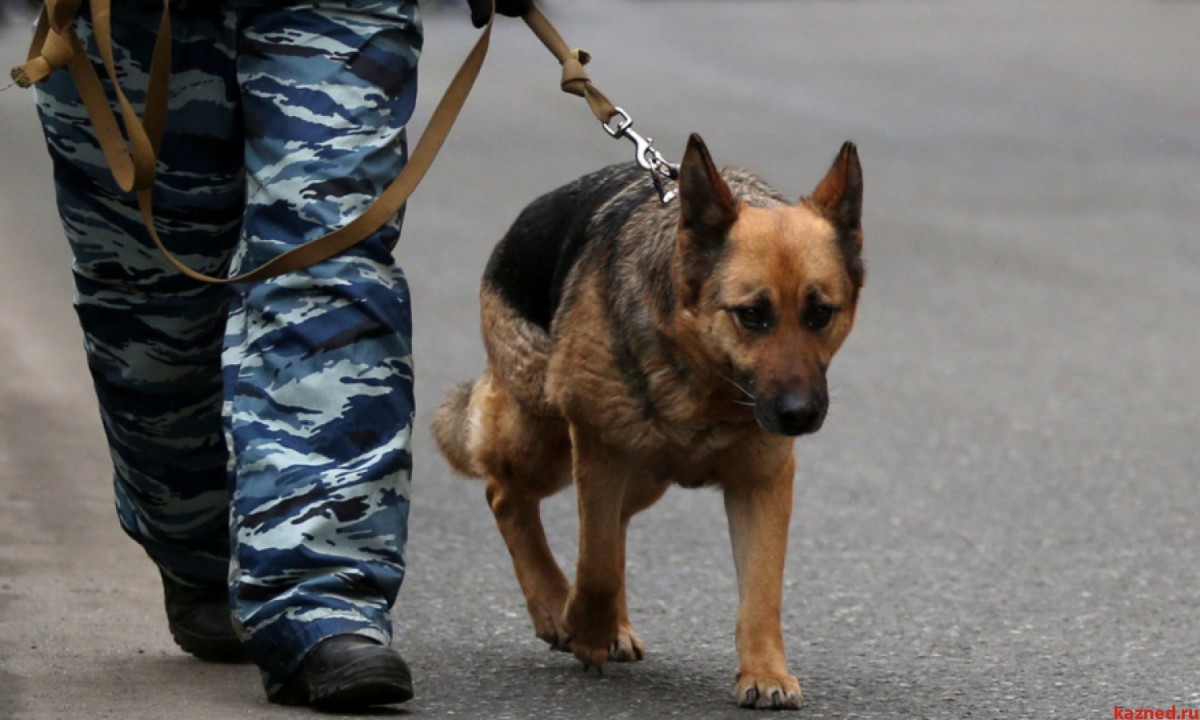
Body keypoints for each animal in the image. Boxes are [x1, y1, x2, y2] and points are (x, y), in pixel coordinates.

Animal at [432, 135, 864, 710]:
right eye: (753, 316)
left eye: (819, 314)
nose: (800, 415)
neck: (704, 383)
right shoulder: (597, 449)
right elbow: (594, 565)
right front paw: (582, 624)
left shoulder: (762, 483)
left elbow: (761, 591)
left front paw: (765, 672)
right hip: (548, 441)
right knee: (505, 494)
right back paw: (553, 604)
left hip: (643, 476)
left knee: (611, 526)